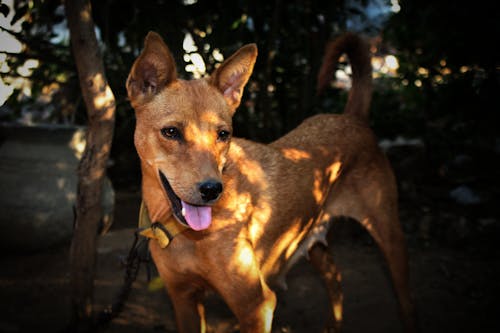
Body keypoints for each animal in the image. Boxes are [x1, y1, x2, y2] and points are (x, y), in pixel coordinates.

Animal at [127, 31, 416, 332]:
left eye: (223, 134)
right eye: (171, 132)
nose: (212, 190)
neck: (186, 234)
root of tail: (351, 118)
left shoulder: (256, 305)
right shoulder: (183, 301)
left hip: (390, 237)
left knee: (406, 301)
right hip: (313, 239)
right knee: (335, 280)